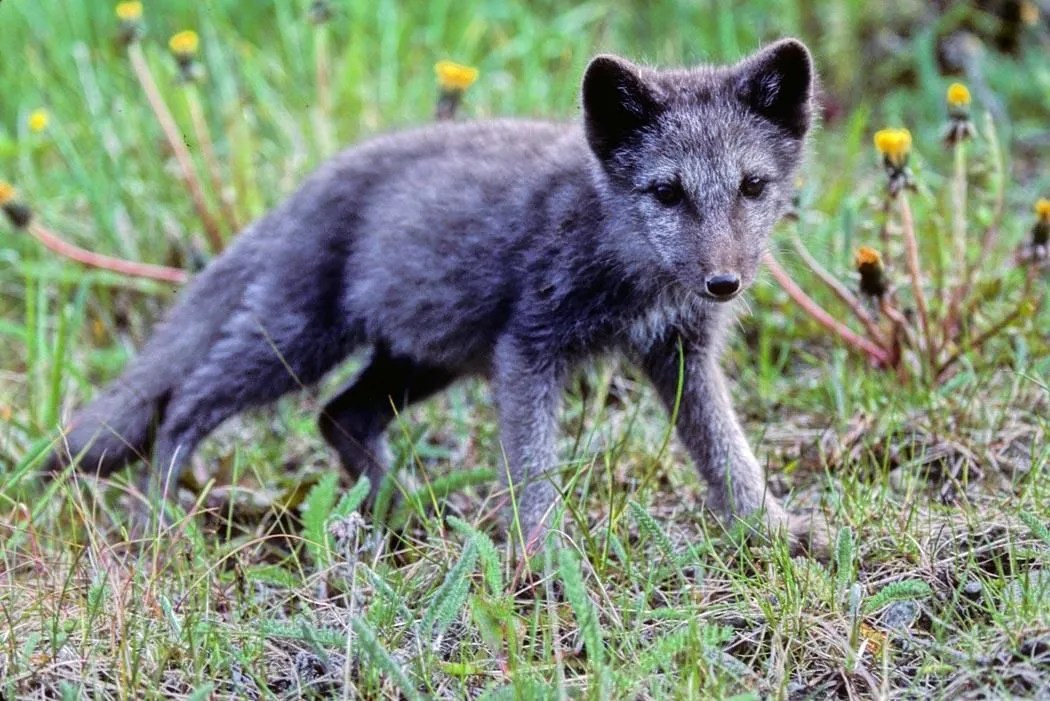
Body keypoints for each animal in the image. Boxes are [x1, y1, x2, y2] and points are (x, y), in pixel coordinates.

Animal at [47, 39, 827, 555]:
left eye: (752, 186)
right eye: (666, 192)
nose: (724, 283)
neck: (624, 254)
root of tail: (310, 184)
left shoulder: (682, 352)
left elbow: (726, 450)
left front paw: (771, 528)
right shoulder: (528, 349)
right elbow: (532, 466)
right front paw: (544, 558)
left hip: (426, 359)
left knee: (341, 416)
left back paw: (394, 516)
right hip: (295, 346)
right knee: (183, 406)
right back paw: (160, 525)